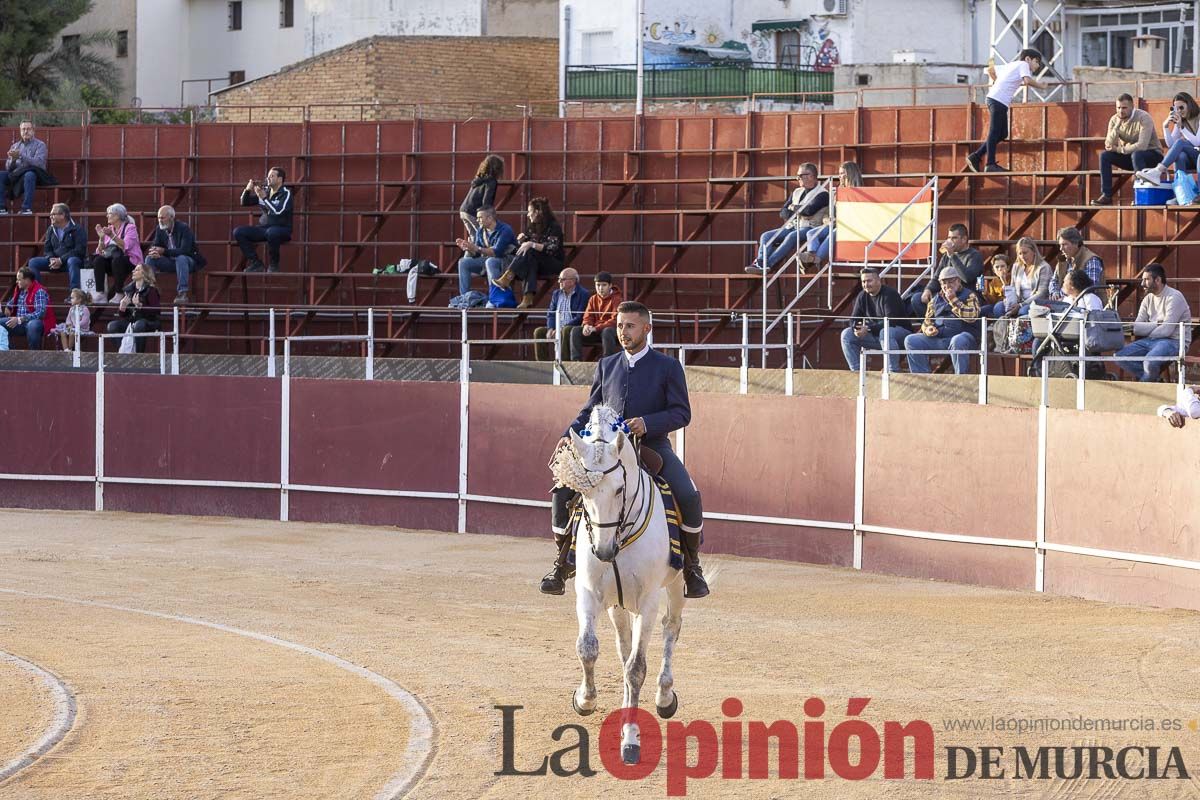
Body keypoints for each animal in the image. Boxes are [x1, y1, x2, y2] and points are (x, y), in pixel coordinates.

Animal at [549, 402, 686, 767]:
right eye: (582, 492)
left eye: (619, 489)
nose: (604, 550)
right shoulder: (588, 592)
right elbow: (588, 648)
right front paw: (585, 700)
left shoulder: (649, 601)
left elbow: (637, 668)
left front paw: (631, 740)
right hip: (617, 604)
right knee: (624, 647)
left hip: (676, 587)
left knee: (671, 629)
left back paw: (664, 697)